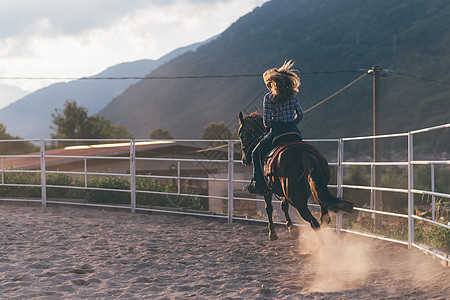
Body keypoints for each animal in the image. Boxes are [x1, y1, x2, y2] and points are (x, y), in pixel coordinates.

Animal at [237, 111, 354, 240]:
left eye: (241, 135)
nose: (244, 159)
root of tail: (305, 154)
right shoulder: (283, 192)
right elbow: (283, 206)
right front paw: (291, 228)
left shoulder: (267, 190)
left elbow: (269, 208)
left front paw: (272, 233)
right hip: (318, 193)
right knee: (324, 219)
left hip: (297, 201)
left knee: (314, 223)